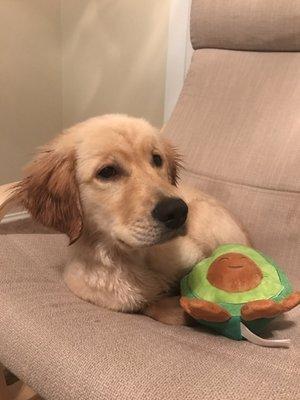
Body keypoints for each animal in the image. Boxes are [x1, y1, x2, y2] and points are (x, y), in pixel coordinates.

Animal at [8, 114, 248, 324]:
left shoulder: (194, 257)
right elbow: (154, 305)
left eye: (157, 160)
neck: (131, 258)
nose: (178, 211)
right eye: (107, 172)